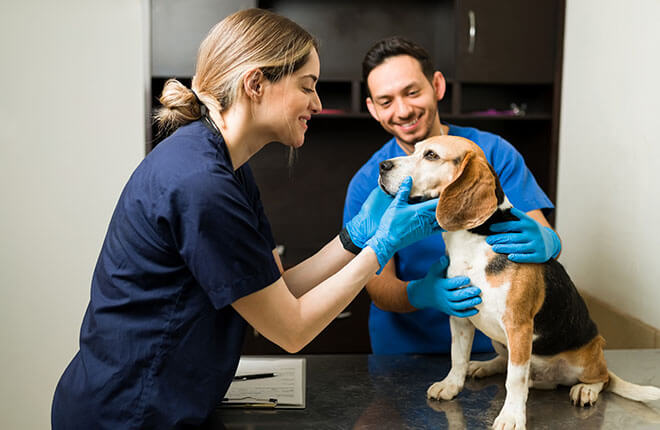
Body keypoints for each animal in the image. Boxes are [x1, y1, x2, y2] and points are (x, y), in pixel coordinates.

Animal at [376, 136, 660, 428]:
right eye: (414, 149)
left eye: (431, 155)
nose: (382, 165)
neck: (474, 239)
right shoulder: (460, 314)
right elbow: (457, 356)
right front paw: (451, 385)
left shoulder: (518, 325)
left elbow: (514, 379)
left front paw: (511, 416)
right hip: (499, 341)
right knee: (505, 362)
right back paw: (483, 366)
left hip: (584, 357)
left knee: (600, 379)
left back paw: (585, 389)